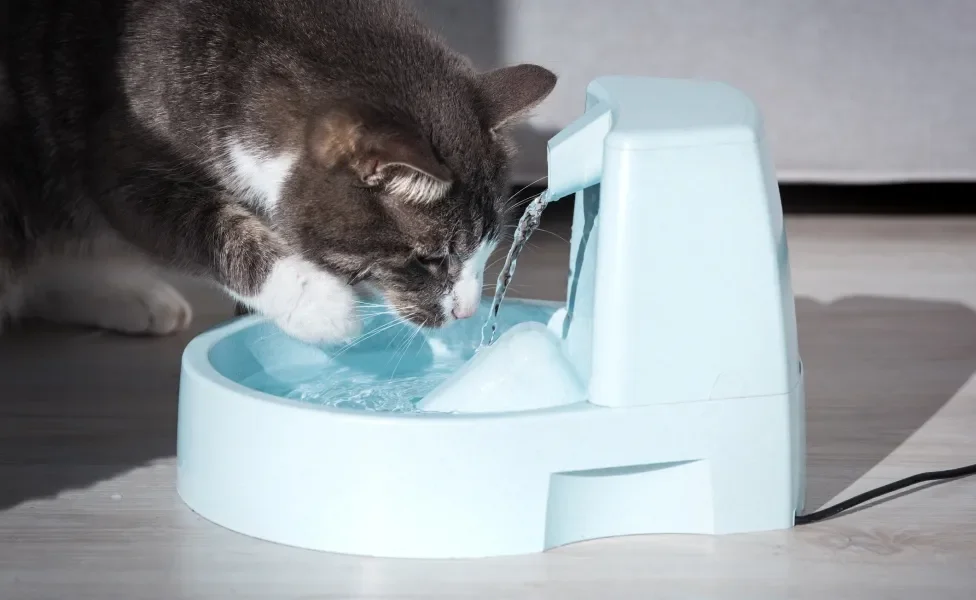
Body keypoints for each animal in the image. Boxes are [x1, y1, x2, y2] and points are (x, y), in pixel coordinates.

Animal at [0, 0, 556, 342]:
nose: (468, 311)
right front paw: (320, 304)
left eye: (488, 246)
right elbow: (207, 224)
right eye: (431, 258)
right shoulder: (120, 158)